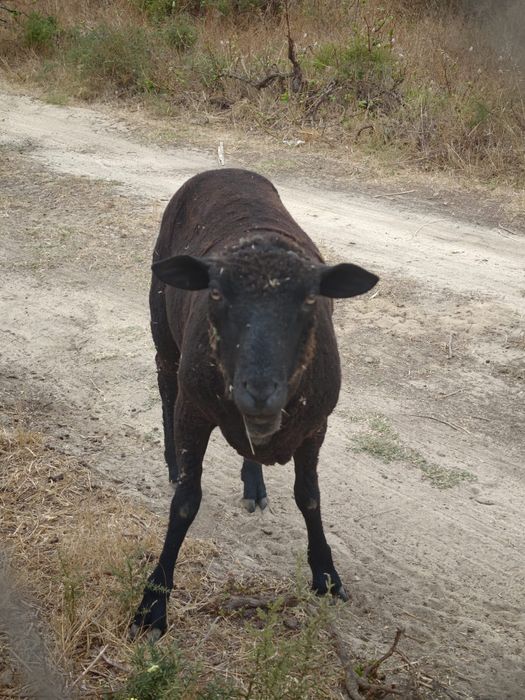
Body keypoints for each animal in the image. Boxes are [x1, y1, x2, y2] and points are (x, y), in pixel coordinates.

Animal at [130, 169, 378, 639]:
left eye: (309, 298)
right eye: (215, 295)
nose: (259, 390)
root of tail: (223, 171)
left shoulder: (316, 425)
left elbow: (309, 497)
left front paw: (326, 575)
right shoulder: (194, 411)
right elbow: (185, 504)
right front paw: (153, 603)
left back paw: (254, 484)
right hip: (162, 329)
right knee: (164, 386)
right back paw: (173, 462)